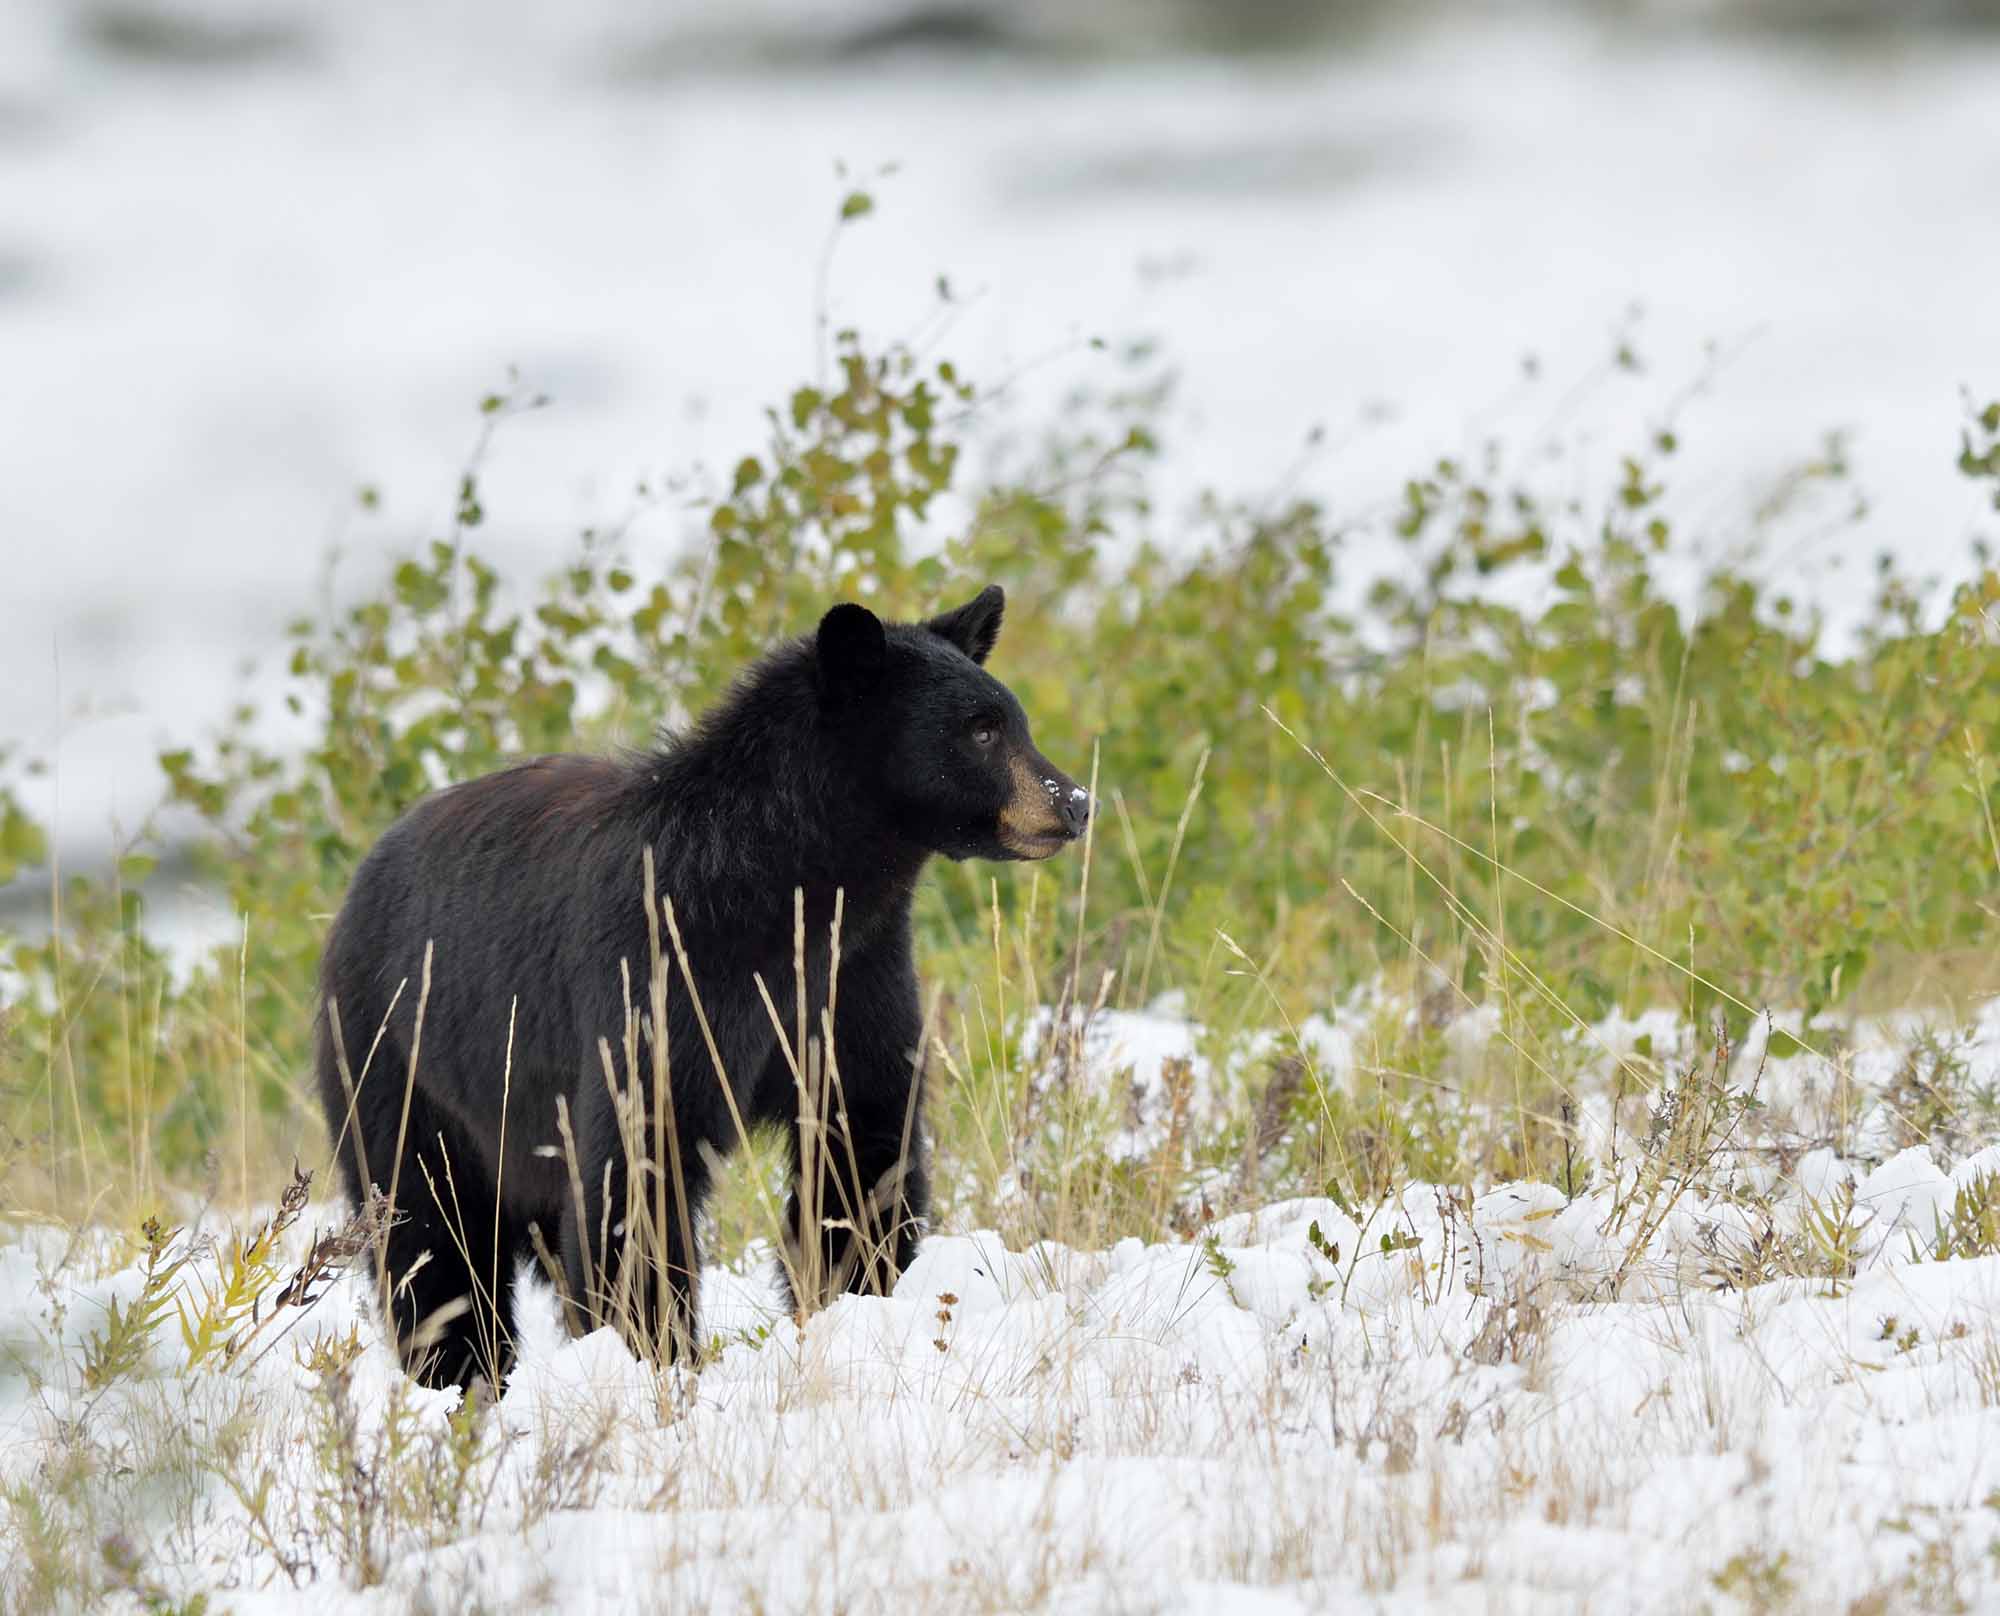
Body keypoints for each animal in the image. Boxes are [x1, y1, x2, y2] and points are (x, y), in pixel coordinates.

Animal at [318, 588, 1088, 1384]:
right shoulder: (662, 969)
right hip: (402, 1061)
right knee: (430, 1235)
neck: (787, 886)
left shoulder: (853, 975)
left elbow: (860, 1135)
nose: (1073, 801)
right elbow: (639, 1163)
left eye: (1013, 720)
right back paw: (458, 1375)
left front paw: (854, 1291)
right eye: (981, 730)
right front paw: (656, 1355)